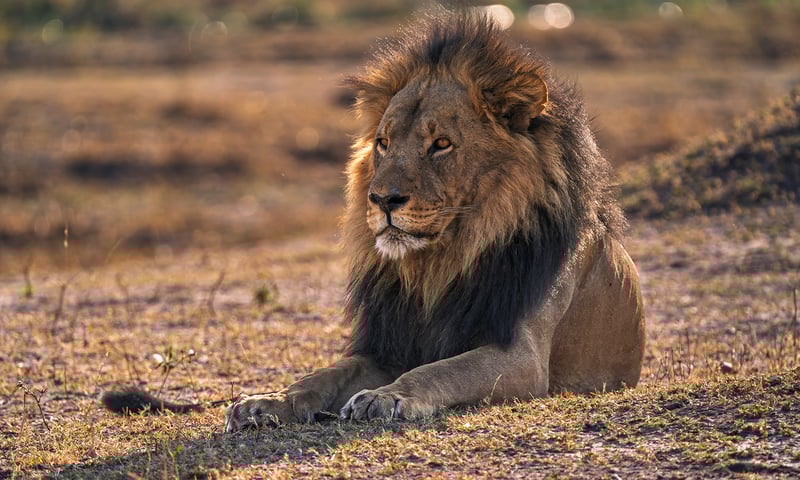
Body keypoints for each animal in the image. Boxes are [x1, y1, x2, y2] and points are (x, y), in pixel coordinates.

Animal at [102, 11, 645, 430]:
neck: (439, 262)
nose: (382, 199)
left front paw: (388, 398)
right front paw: (268, 402)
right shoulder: (387, 345)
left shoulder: (521, 355)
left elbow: (441, 371)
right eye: (383, 143)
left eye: (441, 144)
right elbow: (325, 375)